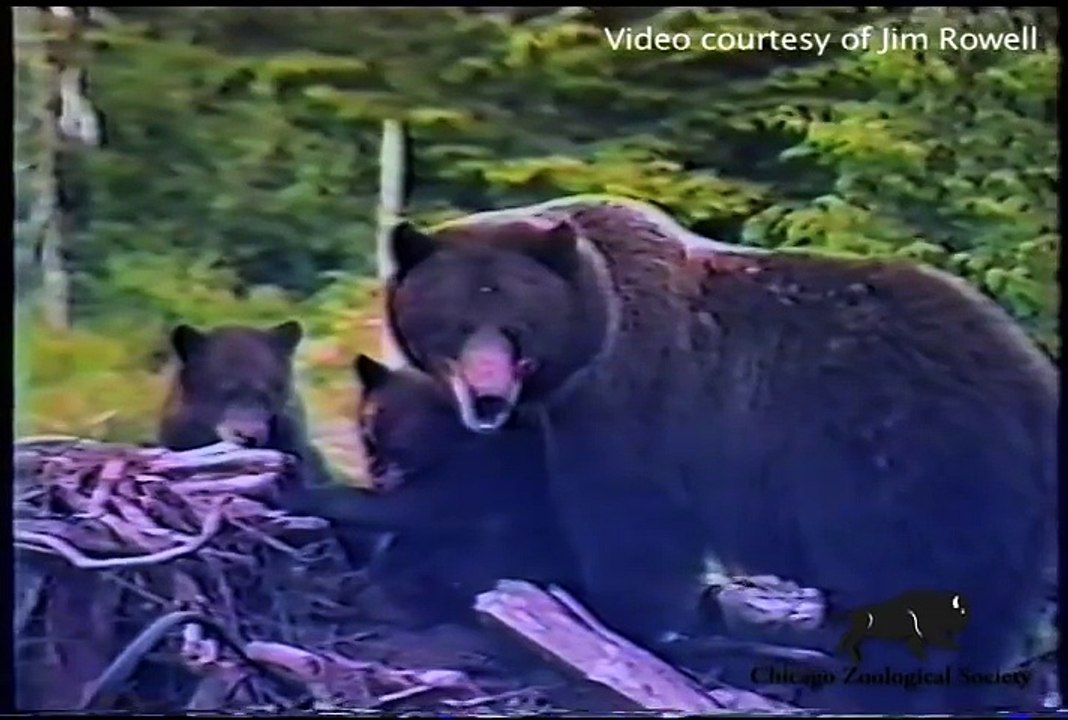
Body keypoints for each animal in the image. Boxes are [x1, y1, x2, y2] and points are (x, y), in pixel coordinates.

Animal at [380, 196, 1058, 714]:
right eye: (455, 326)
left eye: (515, 328)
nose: (488, 395)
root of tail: (1031, 380)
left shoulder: (629, 410)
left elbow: (631, 530)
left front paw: (612, 624)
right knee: (989, 605)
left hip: (899, 464)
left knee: (898, 584)